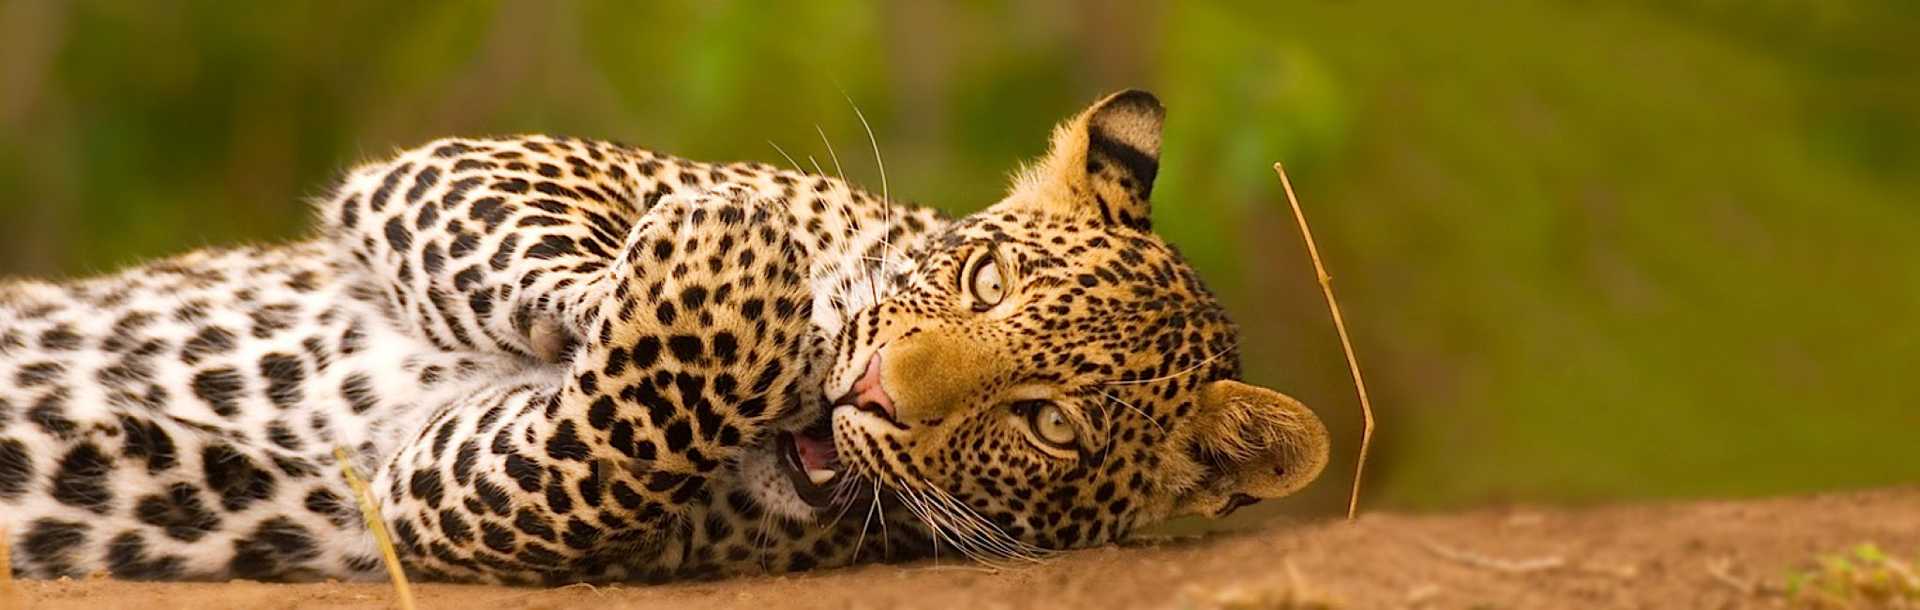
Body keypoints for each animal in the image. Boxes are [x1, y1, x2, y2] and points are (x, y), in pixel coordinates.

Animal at [0, 88, 1320, 583]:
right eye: (985, 280)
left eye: (1045, 423)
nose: (871, 391)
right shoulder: (462, 168)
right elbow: (554, 249)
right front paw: (738, 251)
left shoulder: (429, 490)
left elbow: (609, 439)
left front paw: (723, 274)